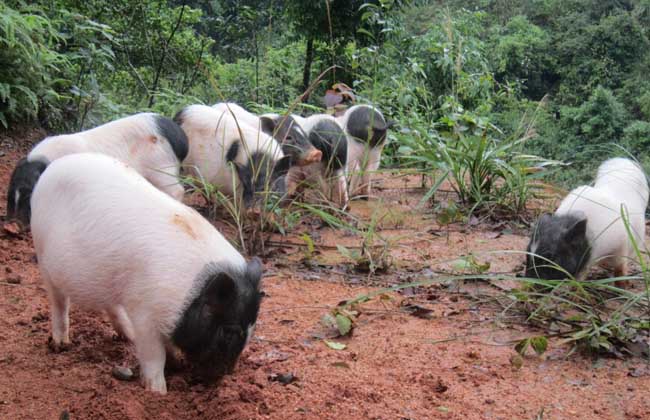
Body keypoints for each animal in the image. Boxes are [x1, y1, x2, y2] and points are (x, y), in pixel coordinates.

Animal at [5, 112, 187, 226]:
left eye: (29, 193)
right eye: (11, 189)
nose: (12, 223)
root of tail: (181, 138)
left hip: (163, 168)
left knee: (179, 190)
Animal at [31, 153, 260, 394]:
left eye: (252, 329)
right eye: (228, 331)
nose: (222, 377)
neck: (188, 293)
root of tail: (53, 167)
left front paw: (176, 364)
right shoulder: (144, 312)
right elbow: (154, 354)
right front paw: (158, 391)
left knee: (110, 305)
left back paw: (127, 335)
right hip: (43, 255)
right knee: (59, 302)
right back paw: (61, 345)